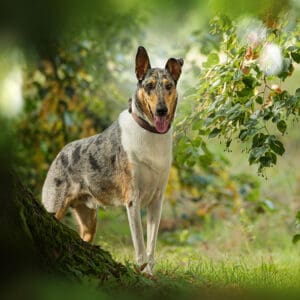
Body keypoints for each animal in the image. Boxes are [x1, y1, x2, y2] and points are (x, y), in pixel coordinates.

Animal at [41, 45, 183, 274]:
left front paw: (151, 274)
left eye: (169, 86)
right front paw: (142, 273)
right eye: (150, 86)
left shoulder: (156, 200)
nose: (162, 110)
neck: (150, 133)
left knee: (84, 237)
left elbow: (151, 246)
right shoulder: (133, 199)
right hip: (54, 207)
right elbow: (140, 246)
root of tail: (61, 152)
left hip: (90, 220)